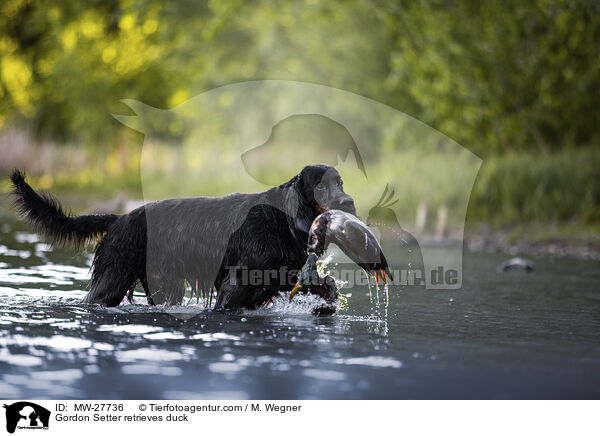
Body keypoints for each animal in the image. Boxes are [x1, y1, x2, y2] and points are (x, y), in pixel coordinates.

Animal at [10, 164, 356, 310]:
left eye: (341, 182)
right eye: (320, 185)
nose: (349, 202)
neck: (283, 218)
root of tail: (120, 218)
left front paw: (329, 294)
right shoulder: (235, 285)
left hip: (165, 285)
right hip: (113, 278)